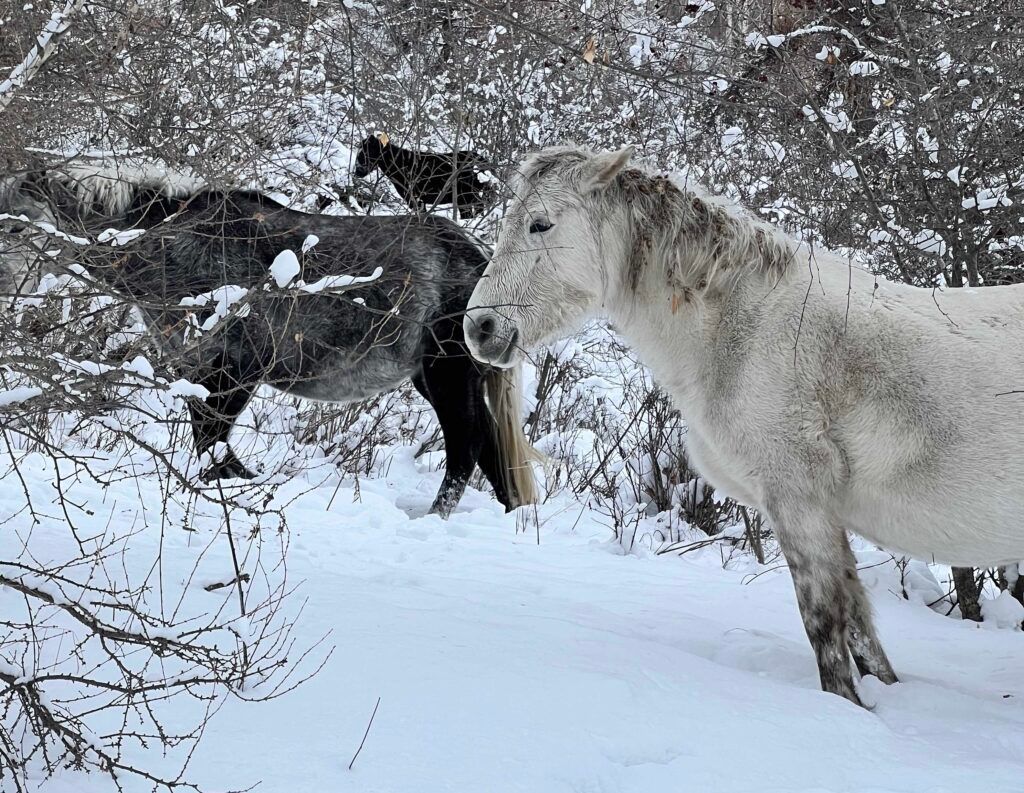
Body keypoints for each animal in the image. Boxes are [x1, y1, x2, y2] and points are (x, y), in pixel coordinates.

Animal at [0, 161, 536, 517]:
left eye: (15, 225)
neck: (172, 243)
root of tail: (479, 256)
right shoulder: (199, 373)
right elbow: (212, 446)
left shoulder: (231, 370)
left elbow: (214, 445)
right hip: (434, 376)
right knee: (490, 449)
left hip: (448, 372)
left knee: (467, 445)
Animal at [463, 144, 1024, 706]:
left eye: (540, 224)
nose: (479, 327)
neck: (743, 328)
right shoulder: (823, 513)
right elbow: (861, 627)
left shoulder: (797, 501)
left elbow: (826, 622)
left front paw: (842, 708)